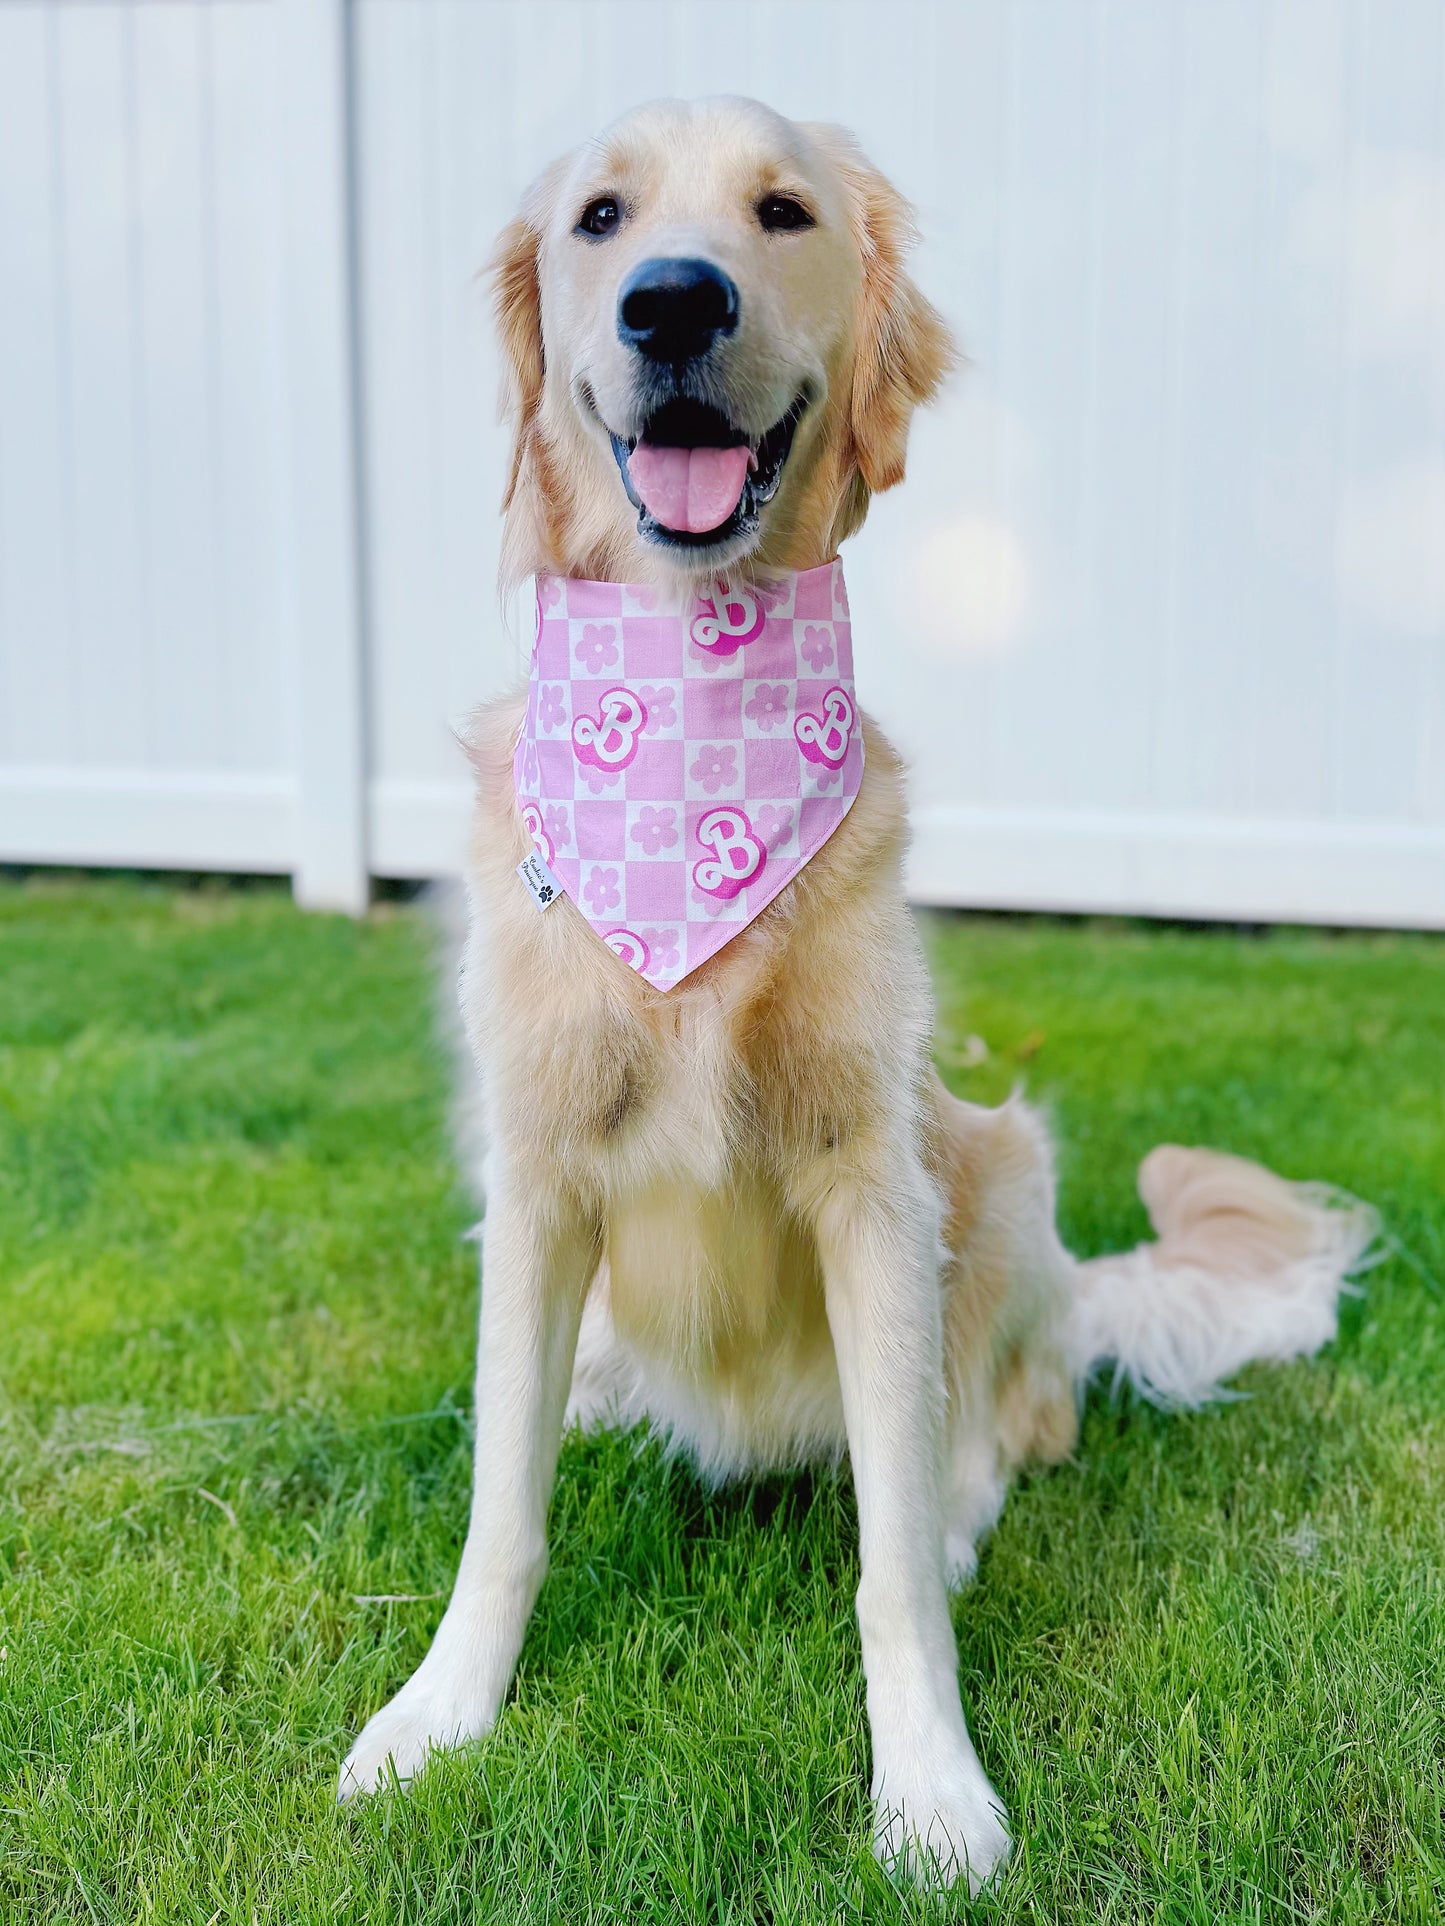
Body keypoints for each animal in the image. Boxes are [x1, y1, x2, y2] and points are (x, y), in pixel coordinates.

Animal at [339, 97, 1379, 1887]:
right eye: (600, 219)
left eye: (782, 212)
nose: (674, 303)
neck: (690, 715)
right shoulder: (535, 1181)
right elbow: (500, 1510)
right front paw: (438, 1713)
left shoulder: (874, 1184)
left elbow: (885, 1564)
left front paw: (932, 1790)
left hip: (999, 1167)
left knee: (1013, 1411)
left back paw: (965, 1495)